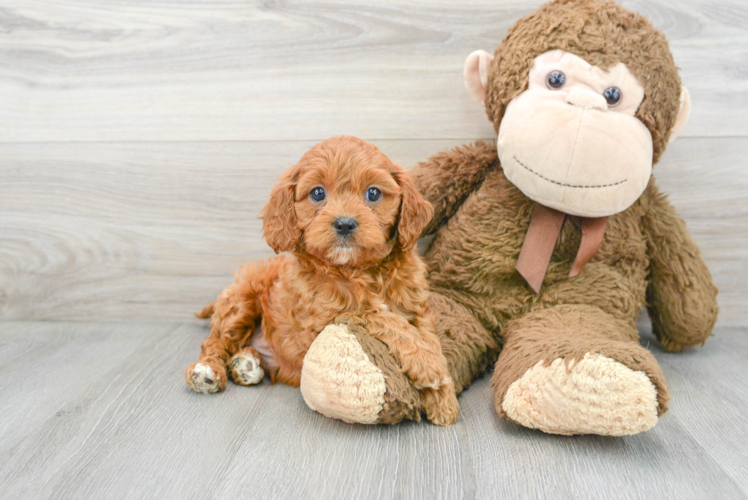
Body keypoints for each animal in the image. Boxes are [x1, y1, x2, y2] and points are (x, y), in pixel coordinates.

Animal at [184, 136, 458, 426]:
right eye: (317, 193)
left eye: (373, 193)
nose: (345, 224)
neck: (359, 270)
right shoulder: (328, 317)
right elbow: (383, 318)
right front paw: (429, 367)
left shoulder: (416, 307)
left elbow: (428, 338)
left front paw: (444, 399)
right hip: (242, 301)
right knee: (215, 341)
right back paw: (207, 370)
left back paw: (246, 365)